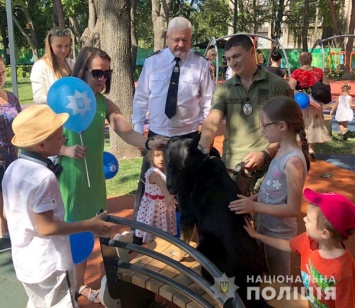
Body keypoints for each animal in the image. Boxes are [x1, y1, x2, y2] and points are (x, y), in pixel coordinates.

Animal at [164, 135, 270, 308]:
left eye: (180, 169)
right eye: (169, 166)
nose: (171, 190)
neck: (200, 162)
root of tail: (249, 287)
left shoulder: (187, 216)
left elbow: (183, 243)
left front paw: (178, 256)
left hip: (205, 248)